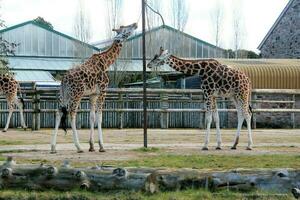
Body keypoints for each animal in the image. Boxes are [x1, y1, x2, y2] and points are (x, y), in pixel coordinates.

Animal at [50, 22, 138, 153]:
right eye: (127, 28)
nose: (136, 24)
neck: (106, 62)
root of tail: (64, 79)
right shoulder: (102, 91)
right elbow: (99, 116)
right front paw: (101, 146)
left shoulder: (93, 94)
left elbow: (91, 116)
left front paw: (91, 146)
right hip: (76, 94)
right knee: (72, 113)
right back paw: (78, 147)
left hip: (63, 95)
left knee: (58, 112)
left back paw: (53, 147)